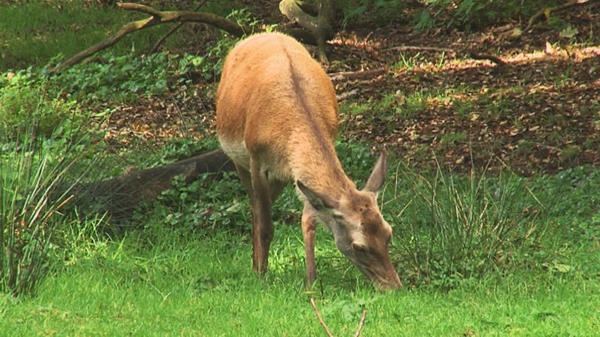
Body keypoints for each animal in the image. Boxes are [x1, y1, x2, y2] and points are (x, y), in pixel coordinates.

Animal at [216, 32, 404, 288]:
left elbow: (309, 220)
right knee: (254, 207)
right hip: (238, 159)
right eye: (359, 246)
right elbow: (265, 225)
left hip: (280, 178)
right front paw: (262, 275)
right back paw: (256, 267)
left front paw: (311, 281)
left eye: (389, 232)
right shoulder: (256, 159)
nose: (394, 287)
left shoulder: (303, 174)